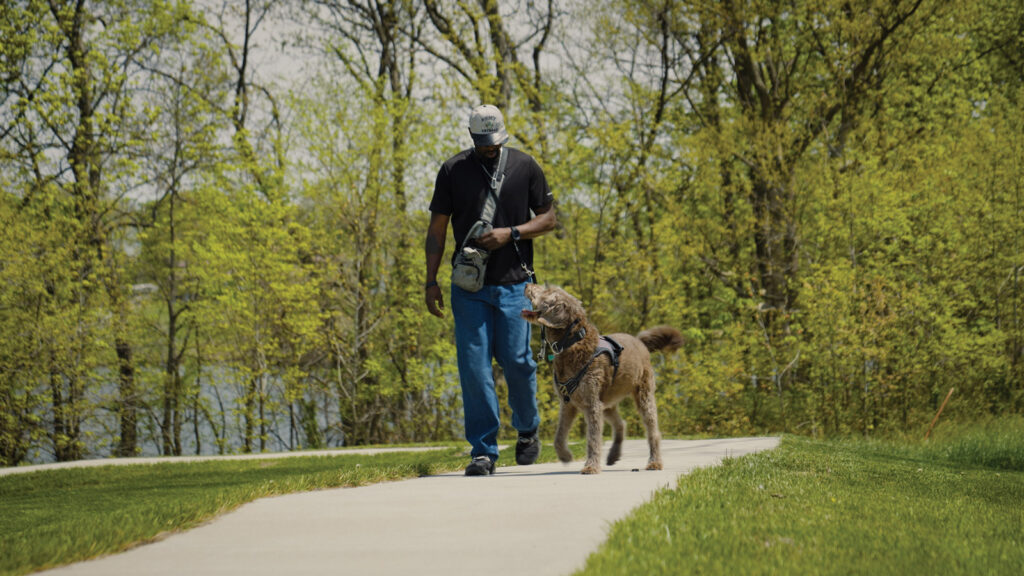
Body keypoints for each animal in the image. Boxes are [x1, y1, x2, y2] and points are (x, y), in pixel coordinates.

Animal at [524, 280, 684, 471]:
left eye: (548, 291)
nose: (527, 284)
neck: (572, 343)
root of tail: (640, 342)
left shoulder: (592, 403)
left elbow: (593, 438)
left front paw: (591, 466)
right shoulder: (568, 403)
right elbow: (559, 435)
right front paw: (565, 456)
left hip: (643, 395)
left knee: (653, 431)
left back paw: (654, 462)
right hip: (607, 401)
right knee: (621, 424)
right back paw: (613, 455)